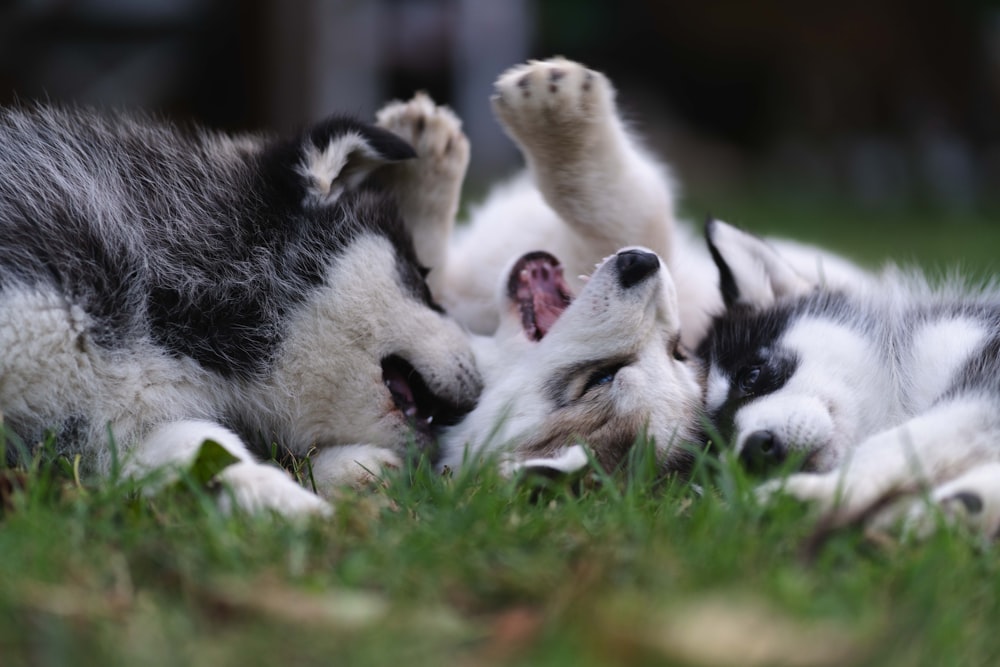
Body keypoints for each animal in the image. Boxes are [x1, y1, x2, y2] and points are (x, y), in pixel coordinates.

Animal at [700, 222, 1000, 536]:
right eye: (713, 446)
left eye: (750, 376)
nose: (753, 452)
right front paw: (964, 505)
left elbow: (890, 442)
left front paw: (809, 494)